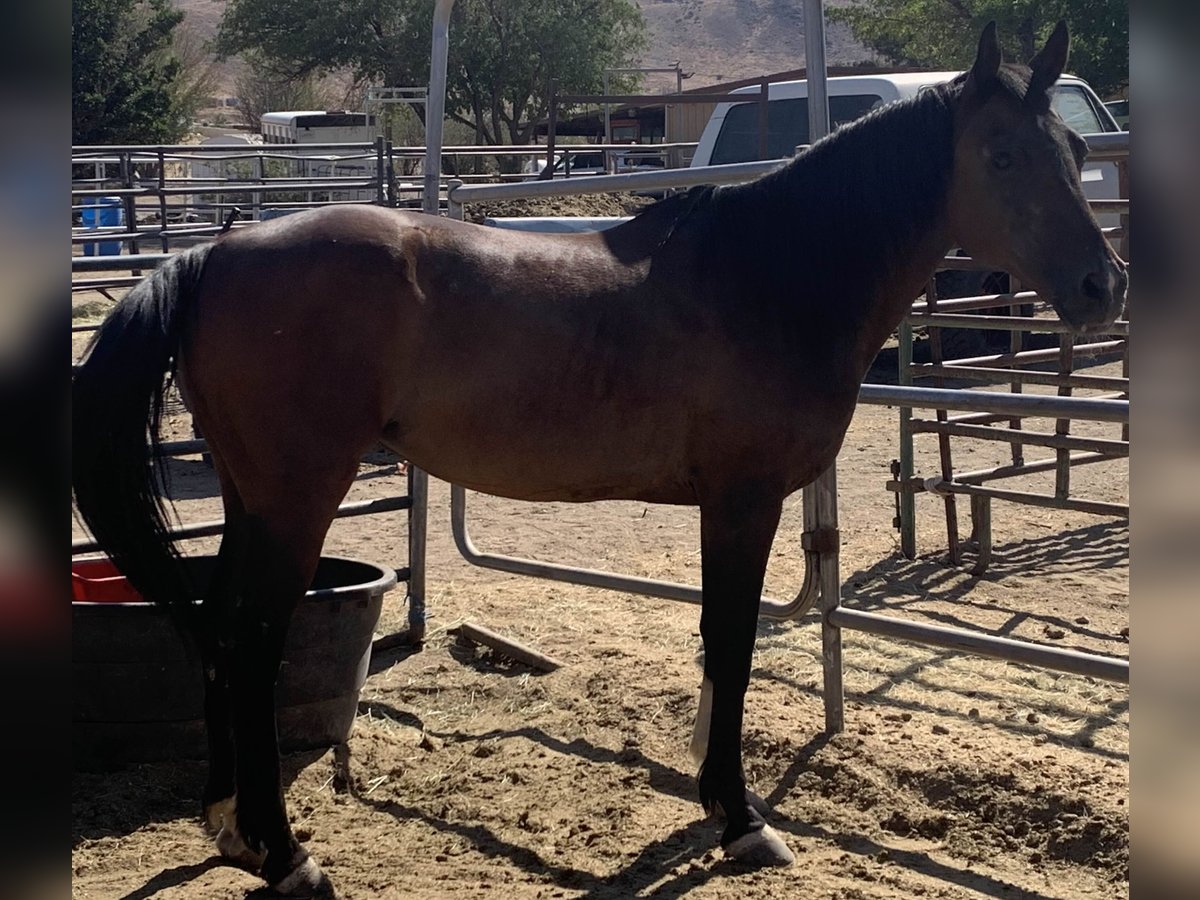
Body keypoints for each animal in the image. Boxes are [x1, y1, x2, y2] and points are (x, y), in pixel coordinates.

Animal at [75, 24, 1123, 897]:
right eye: (1002, 154)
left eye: (1075, 152)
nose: (1099, 286)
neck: (770, 274)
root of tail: (214, 255)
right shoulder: (742, 503)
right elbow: (731, 648)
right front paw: (739, 818)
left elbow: (720, 647)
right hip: (297, 499)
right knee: (253, 642)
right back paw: (285, 852)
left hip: (253, 499)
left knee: (220, 629)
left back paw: (231, 828)